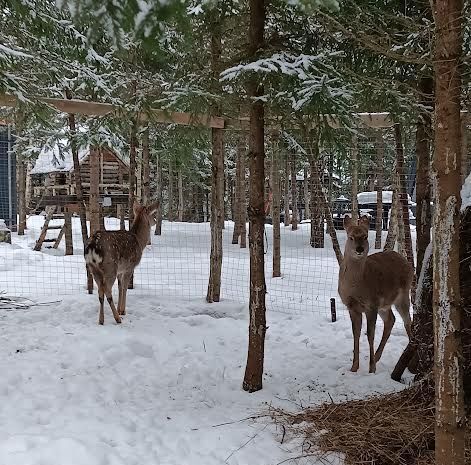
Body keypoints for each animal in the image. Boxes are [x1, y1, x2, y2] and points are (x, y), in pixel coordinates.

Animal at [340, 215, 412, 374]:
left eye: (365, 236)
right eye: (350, 237)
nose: (359, 249)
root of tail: (404, 259)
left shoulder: (371, 304)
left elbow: (370, 335)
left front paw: (371, 368)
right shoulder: (351, 306)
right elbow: (356, 334)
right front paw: (354, 367)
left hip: (403, 294)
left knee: (407, 321)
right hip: (384, 304)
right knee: (391, 319)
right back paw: (378, 356)